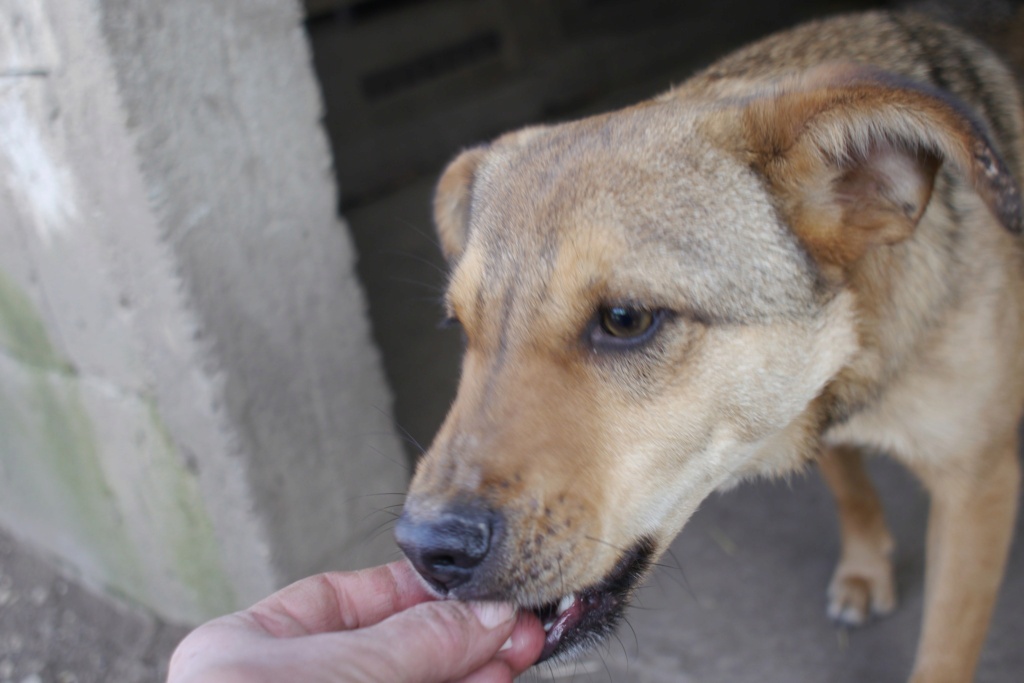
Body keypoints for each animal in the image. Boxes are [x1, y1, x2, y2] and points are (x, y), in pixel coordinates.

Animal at [393, 10, 1024, 683]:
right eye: (461, 326)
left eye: (625, 318)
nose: (425, 551)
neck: (869, 344)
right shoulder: (807, 403)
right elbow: (850, 487)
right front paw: (865, 569)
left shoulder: (978, 483)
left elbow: (943, 654)